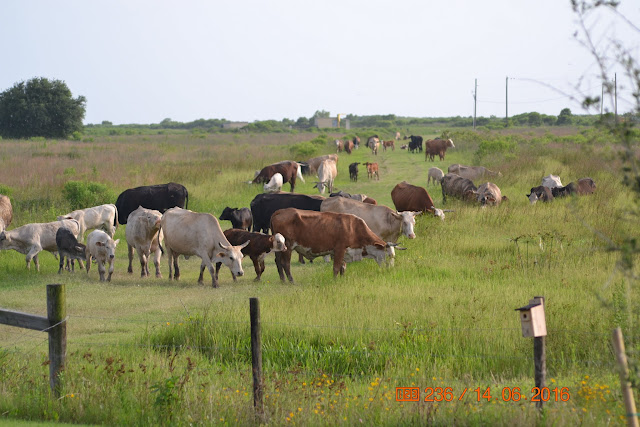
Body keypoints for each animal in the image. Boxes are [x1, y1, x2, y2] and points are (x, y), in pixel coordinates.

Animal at [271, 208, 400, 282]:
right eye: (389, 255)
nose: (391, 270)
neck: (354, 228)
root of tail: (279, 211)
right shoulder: (339, 250)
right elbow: (336, 268)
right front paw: (335, 281)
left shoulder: (344, 252)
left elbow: (343, 267)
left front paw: (342, 280)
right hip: (288, 247)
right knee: (285, 264)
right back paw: (291, 281)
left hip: (280, 248)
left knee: (278, 262)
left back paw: (283, 281)